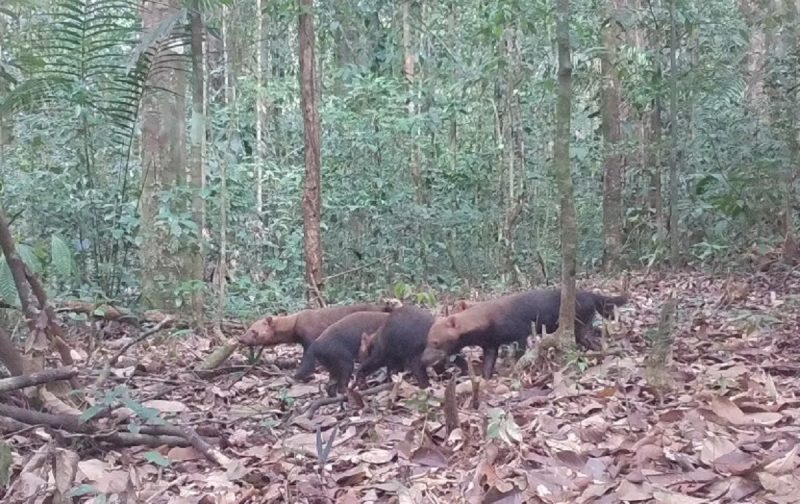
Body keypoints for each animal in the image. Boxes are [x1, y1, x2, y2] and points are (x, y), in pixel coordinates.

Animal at [422, 288, 628, 378]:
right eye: (428, 340)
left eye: (435, 342)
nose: (424, 359)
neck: (486, 321)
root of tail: (590, 293)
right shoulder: (490, 345)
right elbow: (488, 364)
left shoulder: (519, 334)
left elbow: (519, 354)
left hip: (580, 326)